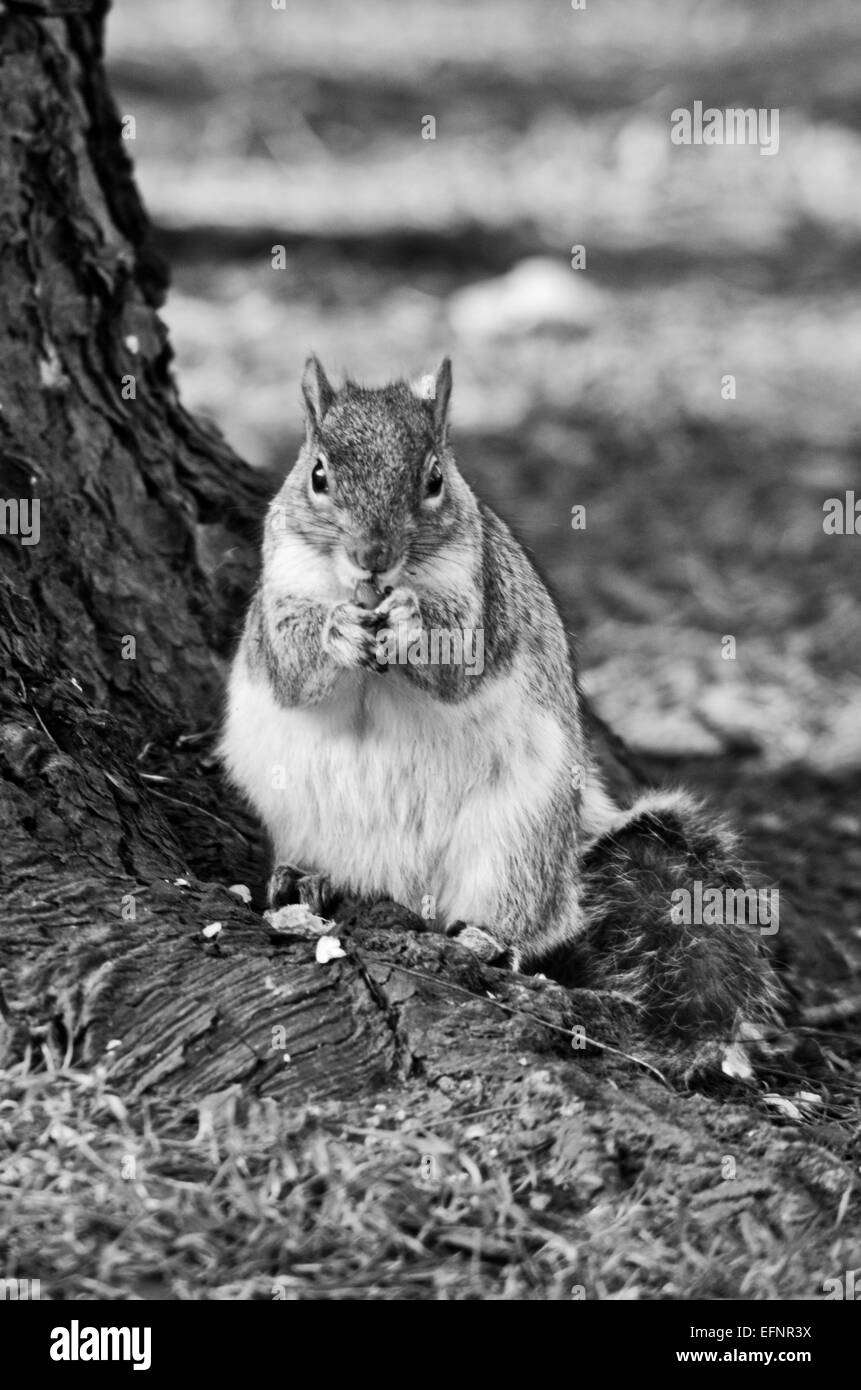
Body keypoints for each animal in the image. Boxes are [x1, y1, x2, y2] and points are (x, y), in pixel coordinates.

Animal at [218, 355, 784, 1045]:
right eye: (318, 474)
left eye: (435, 478)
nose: (371, 556)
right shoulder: (276, 598)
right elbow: (291, 669)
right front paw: (337, 630)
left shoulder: (482, 592)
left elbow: (463, 657)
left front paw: (411, 620)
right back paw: (308, 878)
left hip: (517, 842)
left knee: (529, 918)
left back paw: (487, 940)